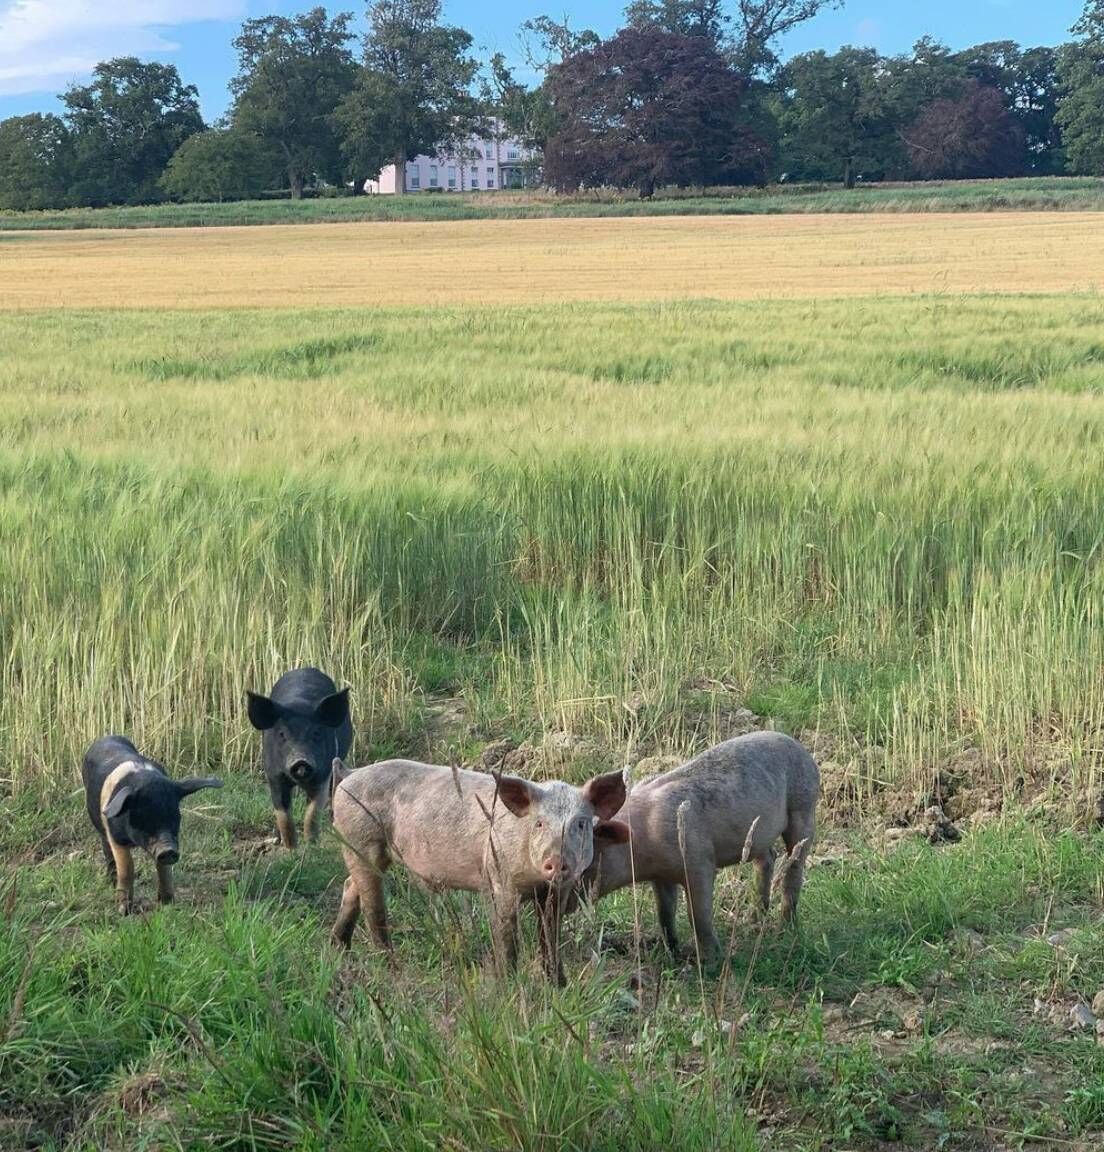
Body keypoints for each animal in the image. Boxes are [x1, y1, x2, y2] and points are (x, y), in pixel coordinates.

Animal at [82, 735, 223, 914]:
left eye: (176, 817)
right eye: (143, 818)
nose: (168, 849)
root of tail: (107, 736)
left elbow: (164, 869)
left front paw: (167, 902)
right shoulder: (116, 838)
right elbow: (126, 868)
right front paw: (123, 910)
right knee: (108, 852)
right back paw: (111, 882)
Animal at [246, 667, 352, 848]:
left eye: (316, 733)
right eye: (282, 734)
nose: (301, 761)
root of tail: (306, 668)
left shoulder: (322, 776)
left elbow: (312, 813)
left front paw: (311, 846)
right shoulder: (274, 776)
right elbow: (283, 815)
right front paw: (291, 848)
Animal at [330, 759, 629, 983]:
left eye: (580, 823)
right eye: (539, 823)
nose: (556, 860)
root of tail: (349, 774)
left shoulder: (558, 891)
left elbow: (550, 937)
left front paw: (558, 986)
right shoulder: (500, 879)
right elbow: (507, 936)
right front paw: (508, 984)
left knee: (350, 887)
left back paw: (339, 947)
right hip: (360, 841)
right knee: (373, 907)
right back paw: (391, 969)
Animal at [577, 731, 818, 963]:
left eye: (588, 863)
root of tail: (802, 750)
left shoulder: (699, 863)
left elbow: (698, 915)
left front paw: (710, 962)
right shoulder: (661, 876)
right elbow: (664, 913)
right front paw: (673, 954)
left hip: (803, 808)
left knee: (794, 865)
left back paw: (785, 928)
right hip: (759, 834)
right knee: (768, 857)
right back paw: (754, 920)